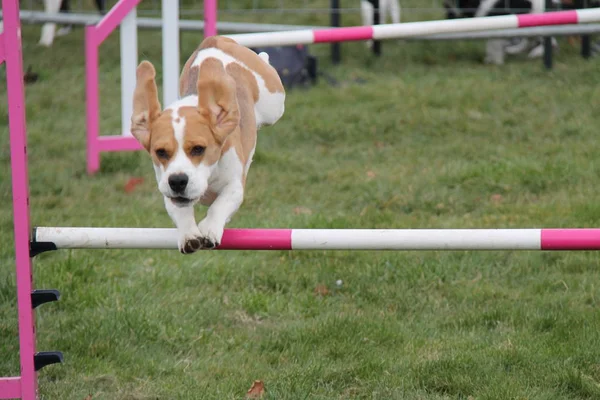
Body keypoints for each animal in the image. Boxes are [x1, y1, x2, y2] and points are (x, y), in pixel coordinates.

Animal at [132, 38, 288, 256]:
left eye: (199, 149)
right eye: (160, 152)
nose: (178, 181)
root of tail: (216, 40)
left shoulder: (235, 185)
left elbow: (220, 204)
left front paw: (210, 228)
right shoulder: (167, 189)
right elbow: (179, 209)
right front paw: (189, 234)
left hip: (273, 102)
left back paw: (264, 56)